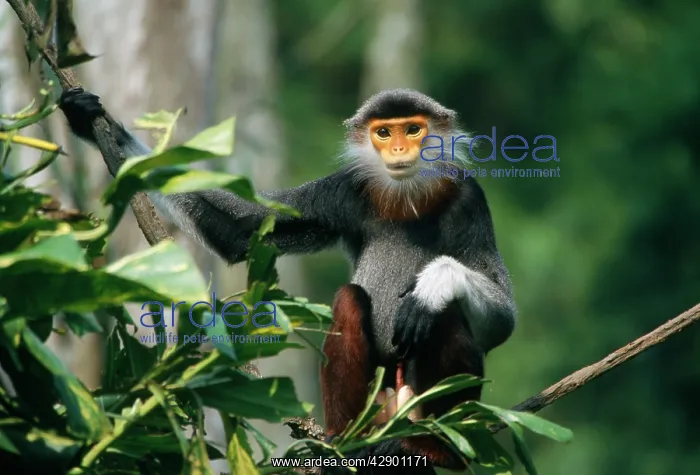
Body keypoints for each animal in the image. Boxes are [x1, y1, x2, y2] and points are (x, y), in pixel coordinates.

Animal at [59, 87, 517, 474]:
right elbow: (240, 233)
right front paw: (88, 119)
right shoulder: (343, 193)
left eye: (414, 129)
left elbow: (501, 323)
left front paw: (435, 283)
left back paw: (435, 448)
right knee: (349, 299)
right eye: (384, 132)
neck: (405, 199)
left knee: (444, 314)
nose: (400, 148)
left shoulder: (469, 199)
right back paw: (345, 447)